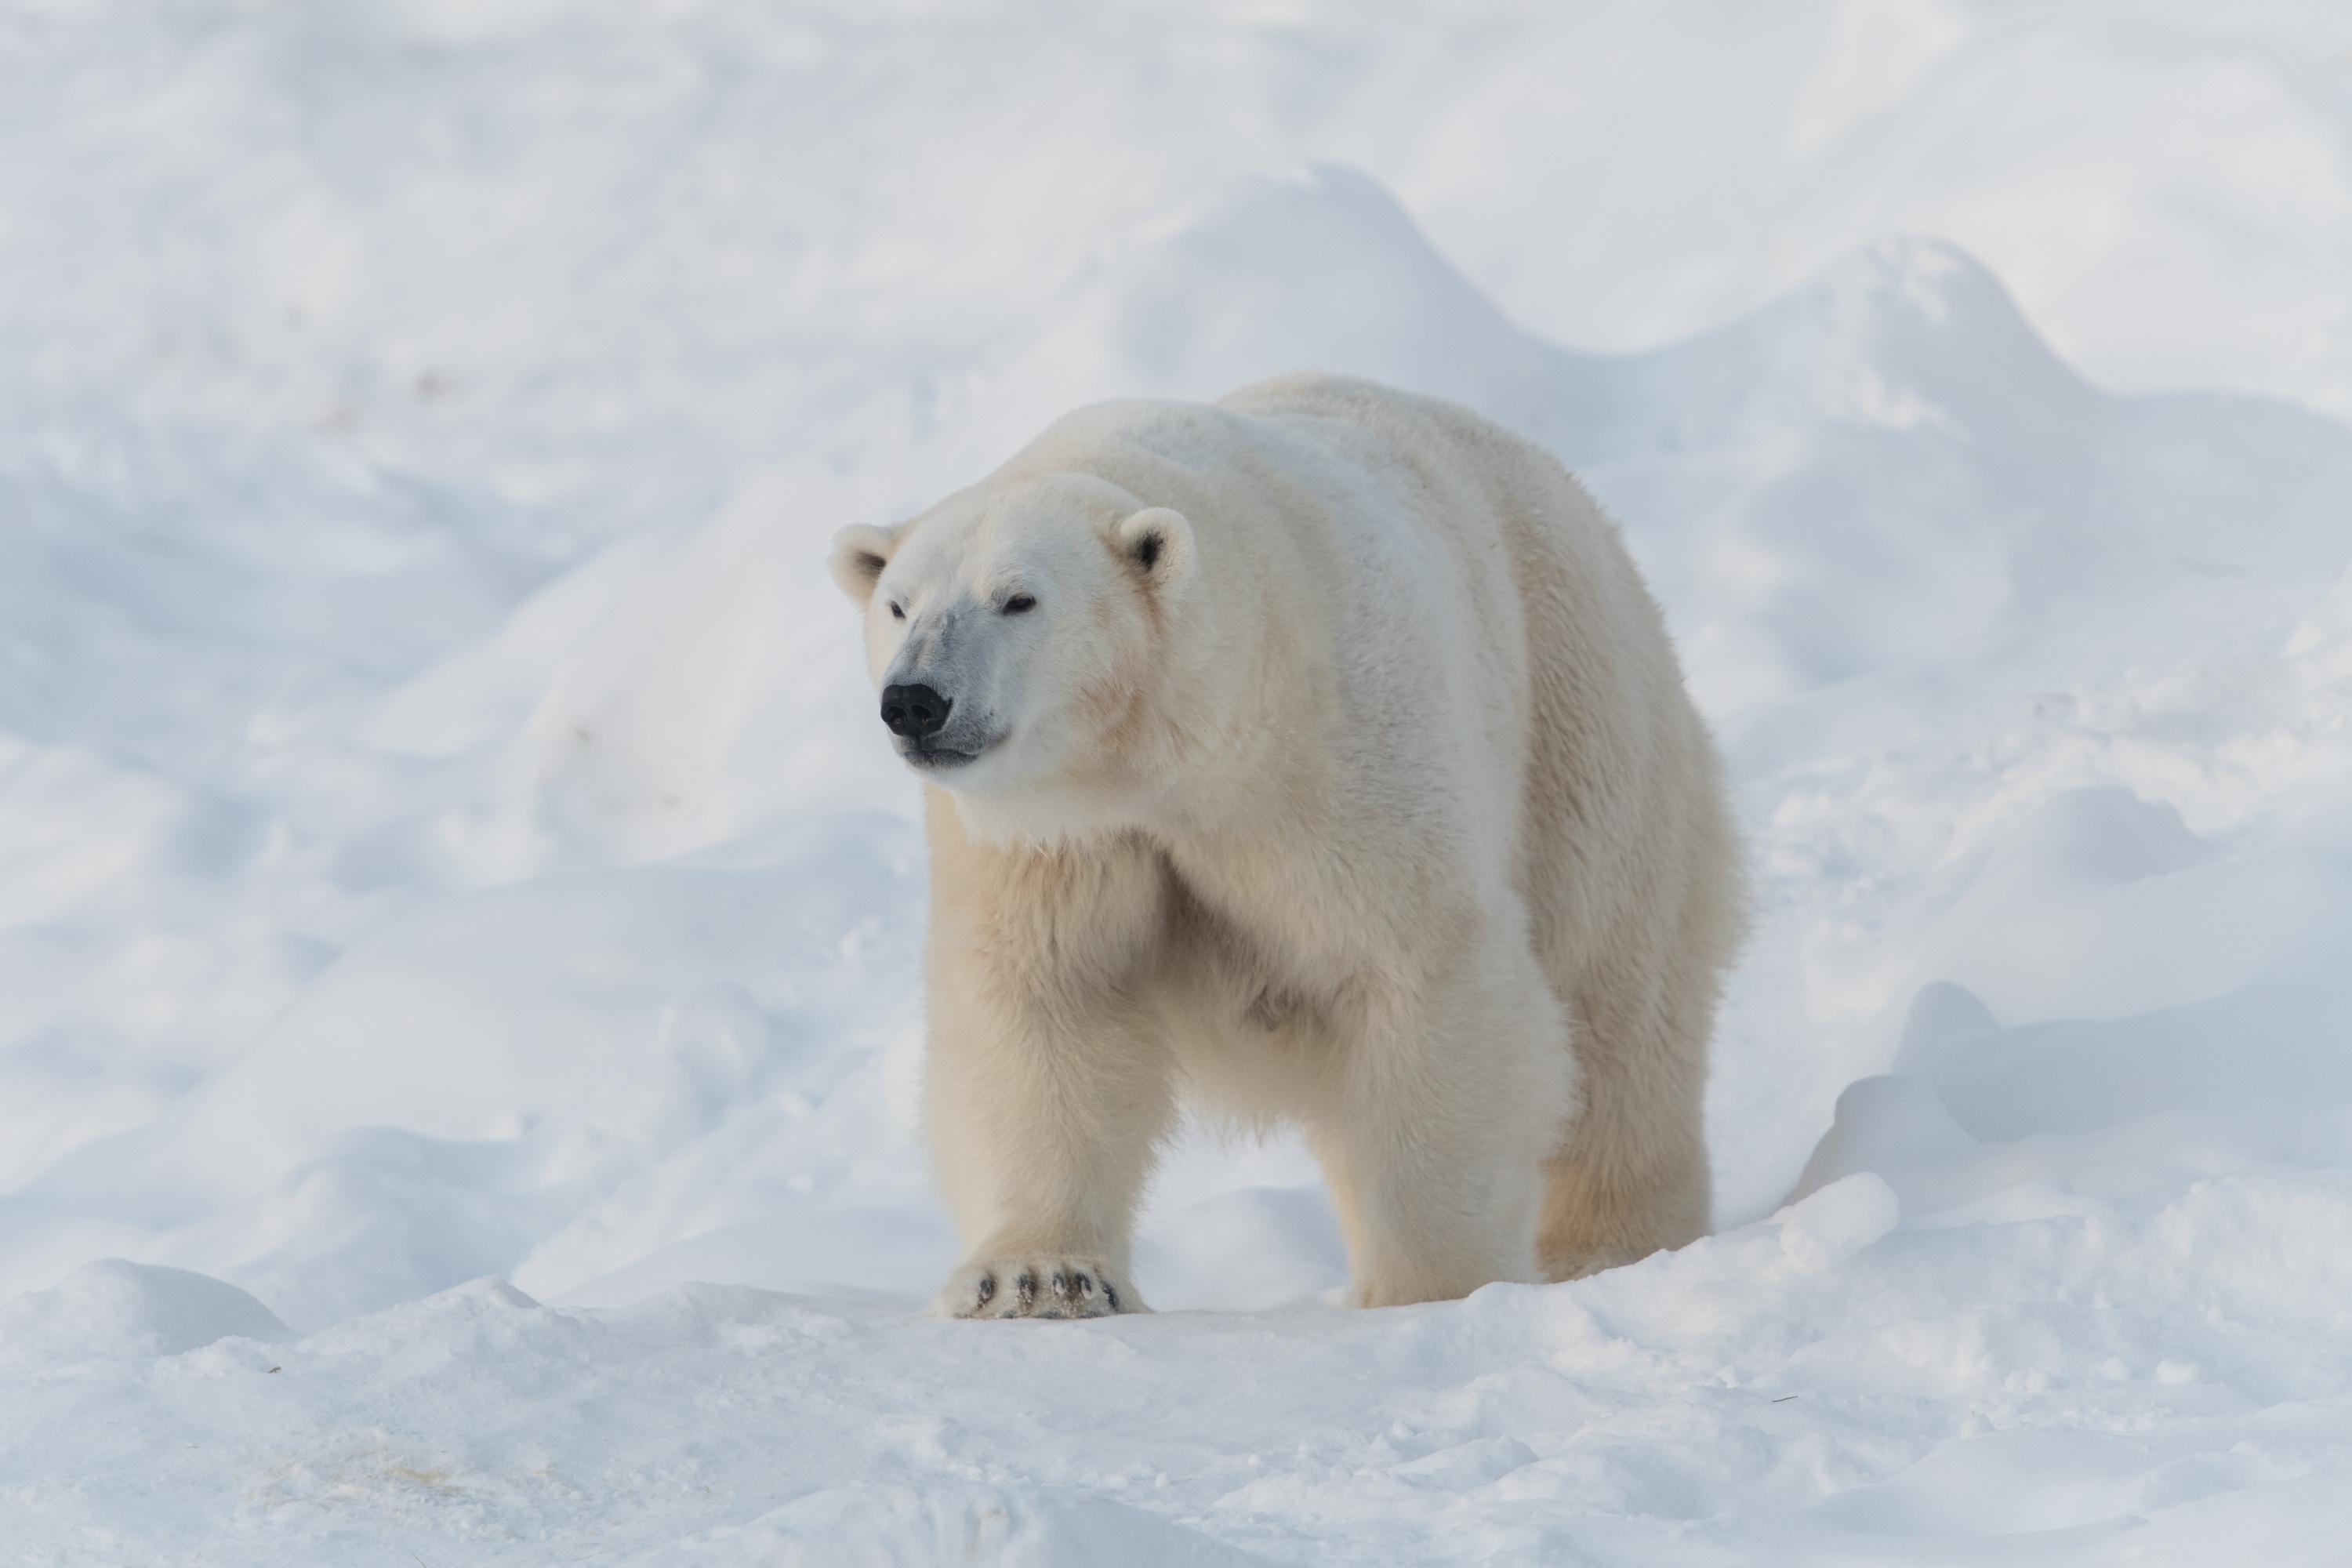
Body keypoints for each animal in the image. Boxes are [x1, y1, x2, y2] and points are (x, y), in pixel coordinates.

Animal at [833, 373, 1750, 1316]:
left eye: (1018, 598)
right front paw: (1040, 1278)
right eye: (898, 604)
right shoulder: (1050, 840)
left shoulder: (1335, 766)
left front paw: (1429, 1288)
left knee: (1617, 993)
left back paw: (1606, 1245)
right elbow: (1041, 1004)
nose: (915, 701)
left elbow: (1422, 976)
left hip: (1578, 710)